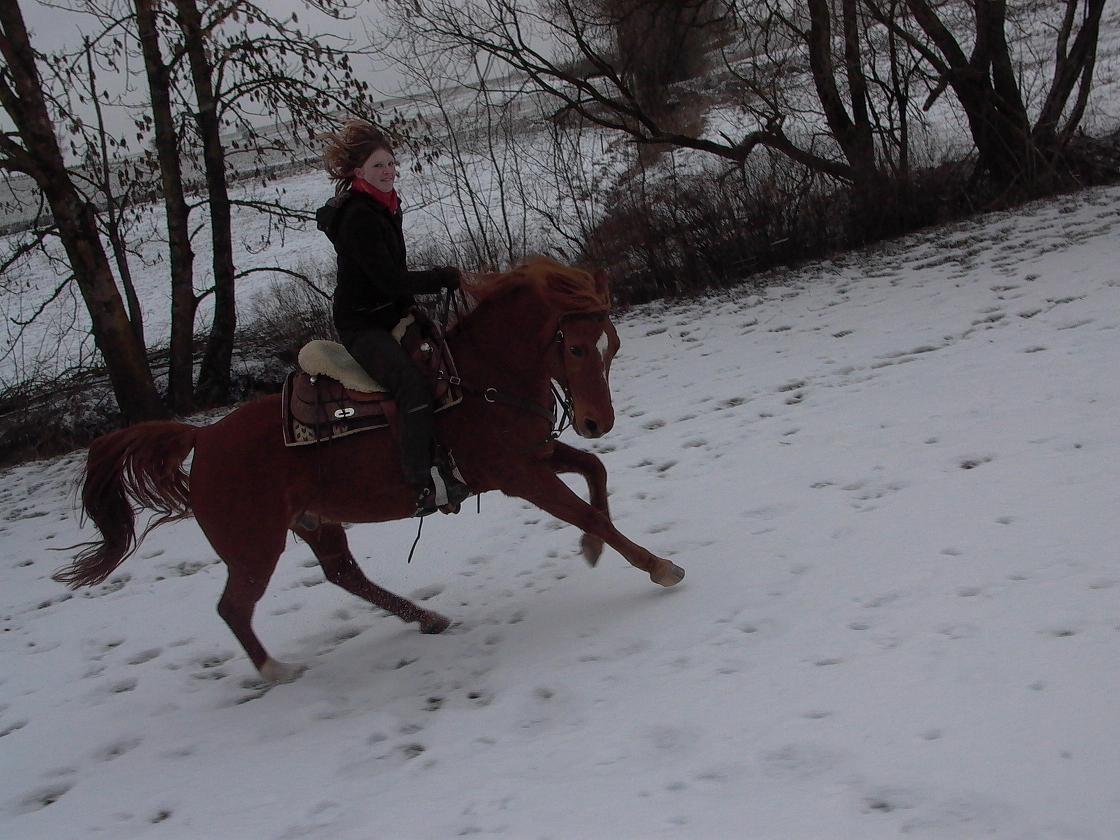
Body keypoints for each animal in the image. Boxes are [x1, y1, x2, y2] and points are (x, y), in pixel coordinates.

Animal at [52, 256, 685, 685]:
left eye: (610, 346)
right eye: (575, 348)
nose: (598, 420)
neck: (485, 376)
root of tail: (202, 438)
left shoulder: (535, 456)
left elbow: (595, 473)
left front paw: (593, 549)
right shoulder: (519, 476)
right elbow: (587, 508)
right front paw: (658, 566)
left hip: (315, 522)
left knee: (343, 575)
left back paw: (428, 618)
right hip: (255, 546)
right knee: (234, 606)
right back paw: (278, 670)